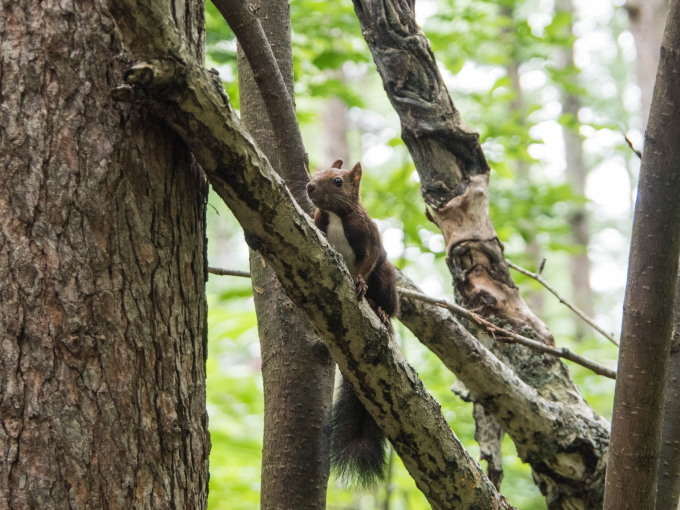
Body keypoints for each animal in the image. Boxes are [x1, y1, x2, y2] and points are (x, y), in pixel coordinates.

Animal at [304, 158, 396, 486]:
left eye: (339, 181)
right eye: (314, 172)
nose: (309, 187)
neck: (335, 216)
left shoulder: (368, 235)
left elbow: (368, 259)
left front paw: (358, 283)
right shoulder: (318, 224)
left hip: (387, 278)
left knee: (388, 301)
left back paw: (381, 312)